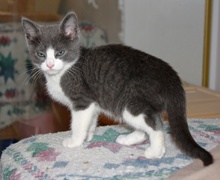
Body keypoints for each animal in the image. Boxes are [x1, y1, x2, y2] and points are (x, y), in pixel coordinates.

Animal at [22, 11, 213, 166]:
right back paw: (129, 139)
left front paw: (75, 141)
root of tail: (170, 73)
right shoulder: (93, 103)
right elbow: (90, 121)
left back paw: (156, 152)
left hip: (129, 103)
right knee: (147, 125)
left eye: (60, 53)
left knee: (155, 122)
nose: (50, 64)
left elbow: (78, 123)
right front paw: (88, 136)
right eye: (41, 54)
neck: (66, 70)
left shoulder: (83, 100)